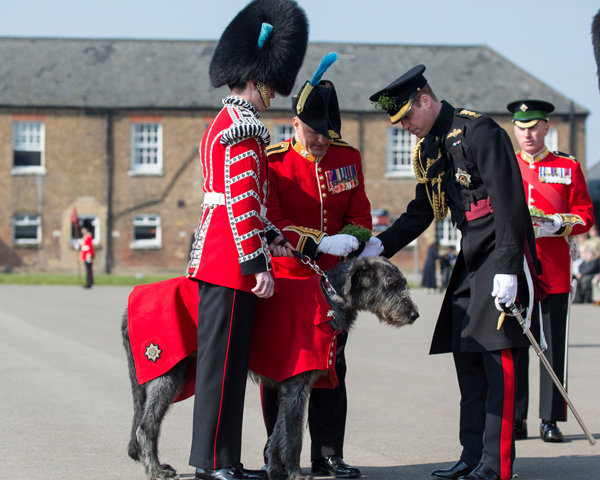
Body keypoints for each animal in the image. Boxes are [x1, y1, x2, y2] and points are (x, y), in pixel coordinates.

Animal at [123, 256, 418, 480]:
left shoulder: (290, 386)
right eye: (392, 284)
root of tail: (130, 304)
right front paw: (296, 474)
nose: (414, 314)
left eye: (404, 283)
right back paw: (156, 470)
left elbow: (279, 431)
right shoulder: (297, 385)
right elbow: (295, 434)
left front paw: (276, 469)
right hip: (168, 373)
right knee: (146, 427)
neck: (327, 299)